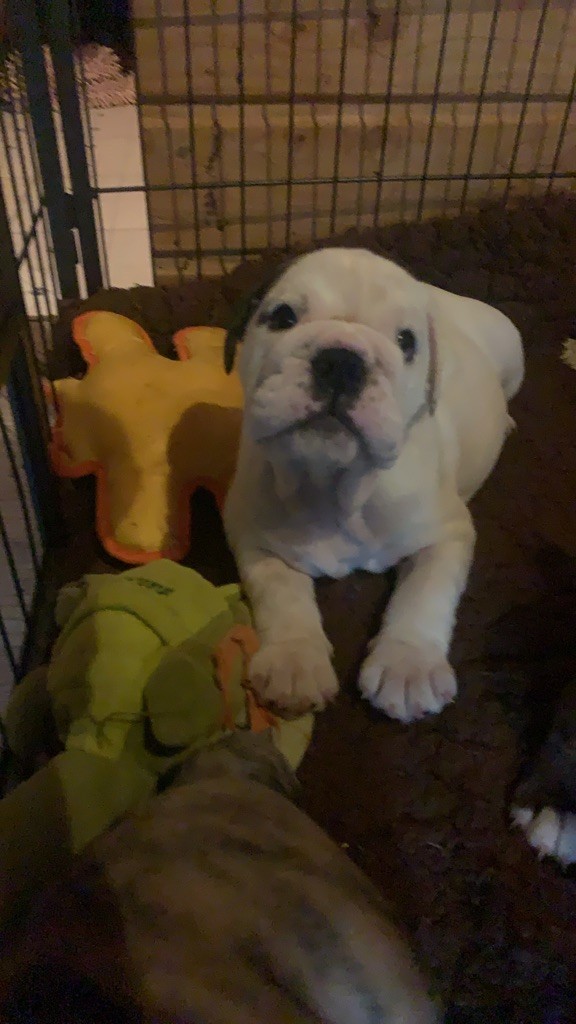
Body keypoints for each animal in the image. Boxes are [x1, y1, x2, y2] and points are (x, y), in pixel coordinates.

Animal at [223, 248, 524, 722]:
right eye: (283, 317)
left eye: (407, 341)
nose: (342, 361)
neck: (334, 484)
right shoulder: (254, 536)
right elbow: (281, 593)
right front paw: (295, 660)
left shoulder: (447, 534)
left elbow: (424, 595)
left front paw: (409, 664)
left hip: (513, 355)